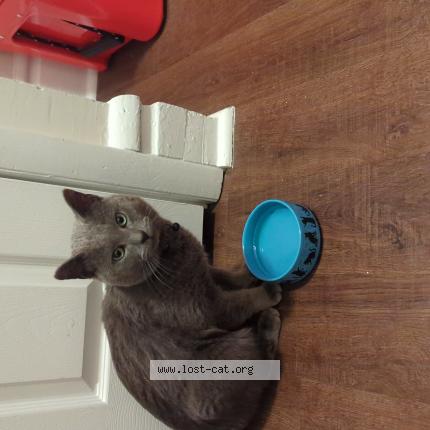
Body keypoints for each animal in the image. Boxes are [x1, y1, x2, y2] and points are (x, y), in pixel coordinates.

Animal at [55, 189, 282, 430]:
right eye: (118, 254)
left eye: (120, 219)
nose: (141, 236)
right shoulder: (208, 307)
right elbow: (240, 302)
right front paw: (268, 292)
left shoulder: (204, 273)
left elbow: (225, 276)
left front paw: (248, 271)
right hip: (233, 350)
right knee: (264, 368)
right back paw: (268, 321)